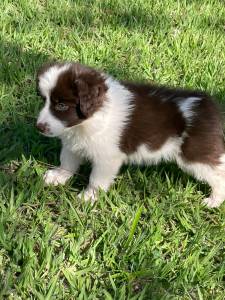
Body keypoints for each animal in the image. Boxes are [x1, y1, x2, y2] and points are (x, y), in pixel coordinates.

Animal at [35, 62, 225, 207]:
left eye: (61, 105)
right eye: (44, 100)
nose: (39, 127)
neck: (89, 119)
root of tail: (208, 105)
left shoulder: (107, 157)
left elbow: (96, 179)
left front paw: (89, 197)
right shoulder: (73, 142)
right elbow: (67, 161)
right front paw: (58, 177)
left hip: (196, 154)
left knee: (218, 174)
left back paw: (213, 201)